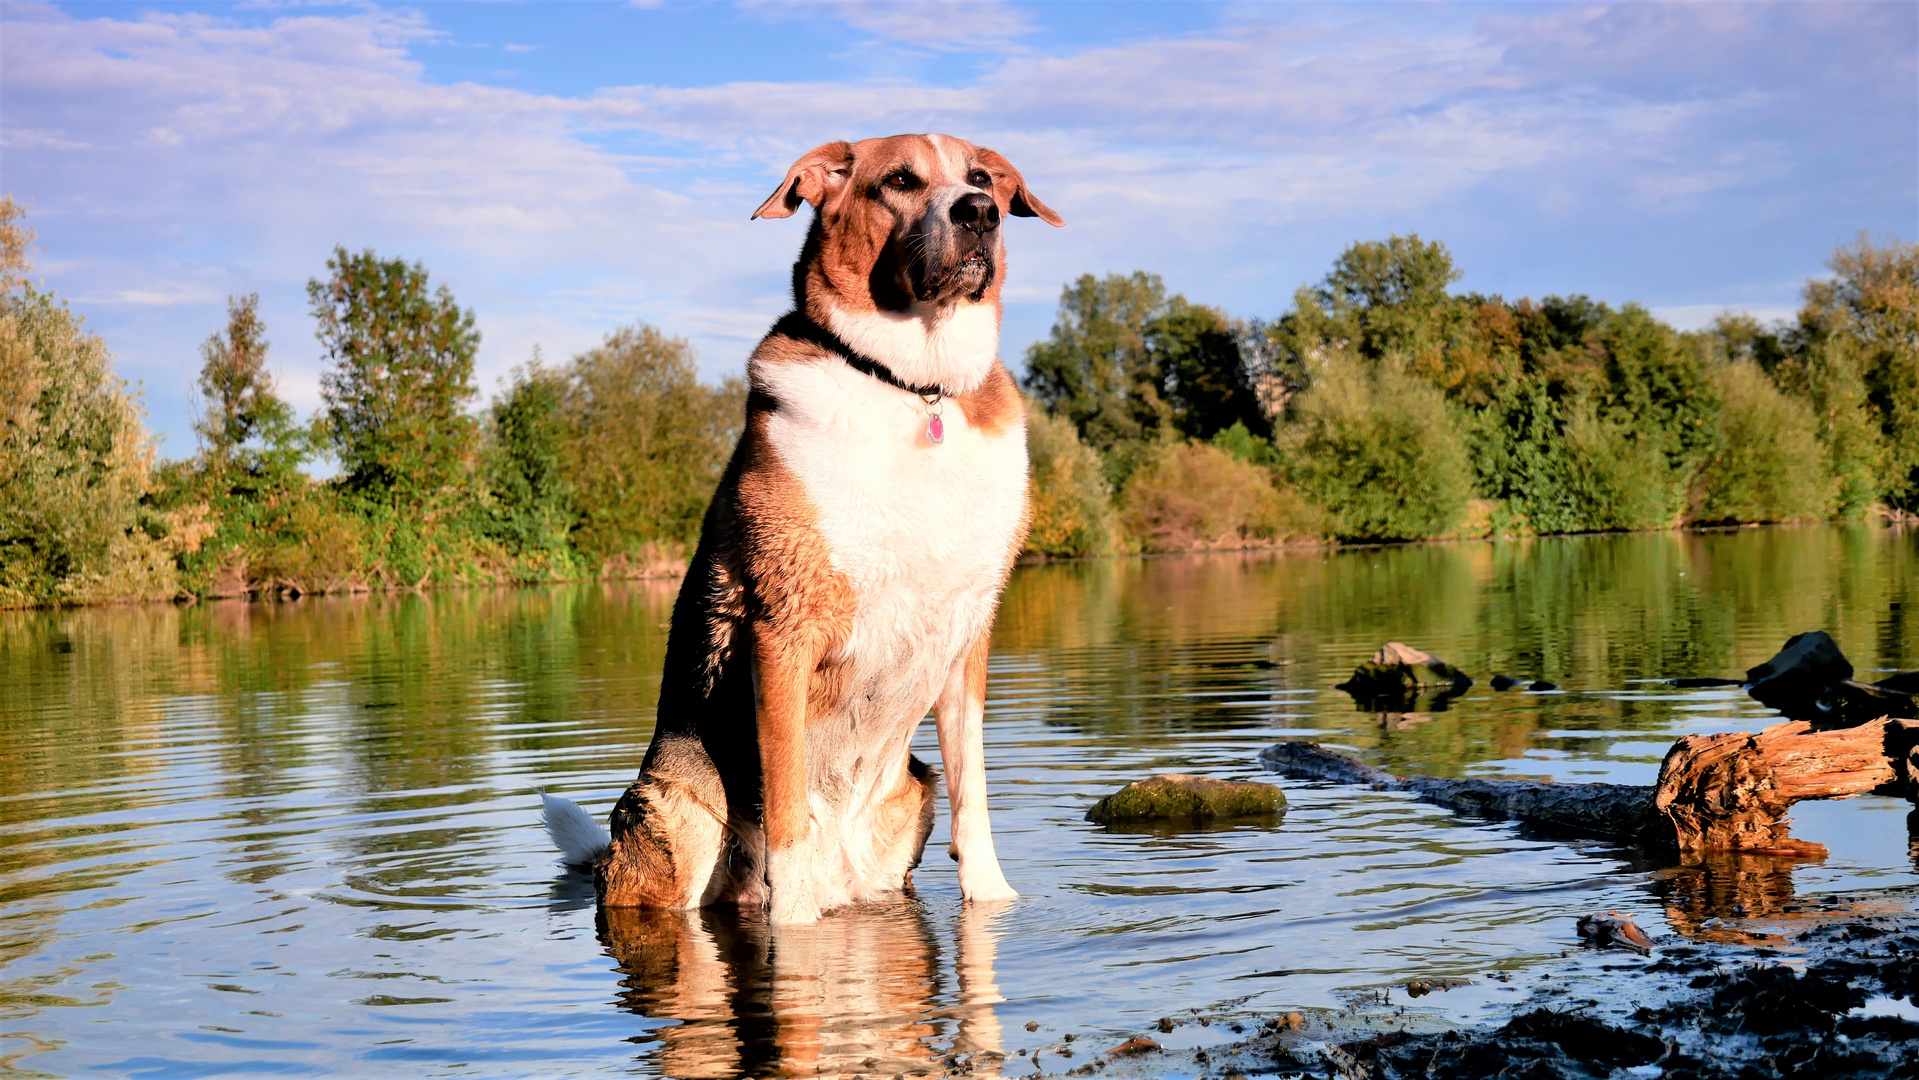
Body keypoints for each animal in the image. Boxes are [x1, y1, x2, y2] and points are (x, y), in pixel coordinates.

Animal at [544, 135, 1066, 924]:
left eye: (979, 178)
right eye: (899, 181)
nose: (978, 213)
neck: (913, 386)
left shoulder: (970, 631)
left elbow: (974, 791)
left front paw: (993, 897)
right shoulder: (782, 630)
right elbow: (787, 811)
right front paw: (792, 929)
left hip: (904, 816)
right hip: (672, 819)